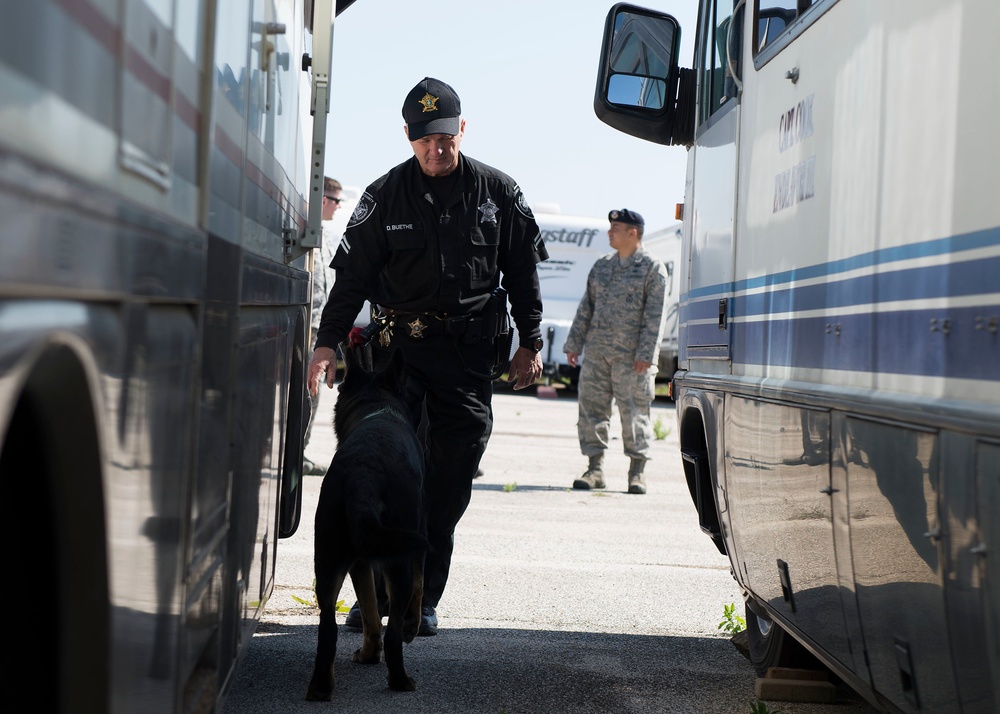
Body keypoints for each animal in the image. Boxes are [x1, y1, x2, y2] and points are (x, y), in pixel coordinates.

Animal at [306, 344, 428, 696]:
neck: (377, 408)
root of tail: (364, 476)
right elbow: (418, 585)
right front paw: (413, 626)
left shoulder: (359, 562)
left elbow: (371, 609)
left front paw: (367, 653)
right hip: (398, 560)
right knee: (394, 632)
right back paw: (401, 681)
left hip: (328, 562)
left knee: (328, 628)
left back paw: (321, 686)